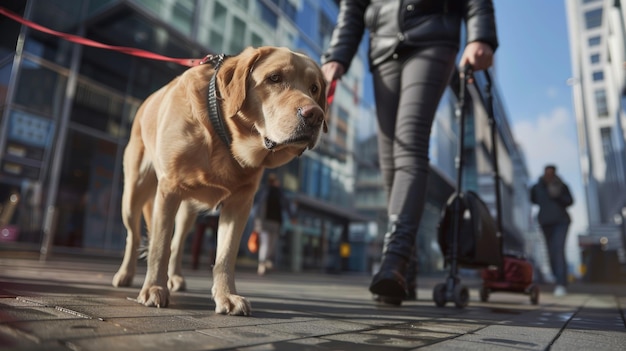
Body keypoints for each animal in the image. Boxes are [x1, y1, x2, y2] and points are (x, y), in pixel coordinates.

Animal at [111, 46, 326, 316]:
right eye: (274, 78)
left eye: (314, 88)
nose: (316, 115)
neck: (222, 135)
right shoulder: (168, 190)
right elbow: (159, 246)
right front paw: (153, 289)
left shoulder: (240, 203)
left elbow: (225, 254)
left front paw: (227, 296)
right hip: (133, 195)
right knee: (135, 236)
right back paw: (126, 274)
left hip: (187, 213)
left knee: (177, 243)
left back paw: (175, 277)